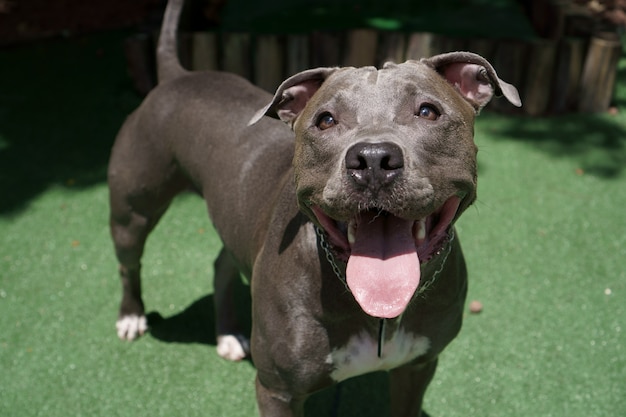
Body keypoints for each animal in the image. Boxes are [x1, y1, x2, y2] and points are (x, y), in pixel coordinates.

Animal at [107, 0, 516, 412]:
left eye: (428, 111)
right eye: (325, 120)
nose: (372, 159)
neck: (378, 310)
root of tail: (177, 75)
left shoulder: (417, 369)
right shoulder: (278, 391)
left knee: (222, 262)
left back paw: (228, 334)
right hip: (131, 212)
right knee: (129, 262)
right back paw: (131, 317)